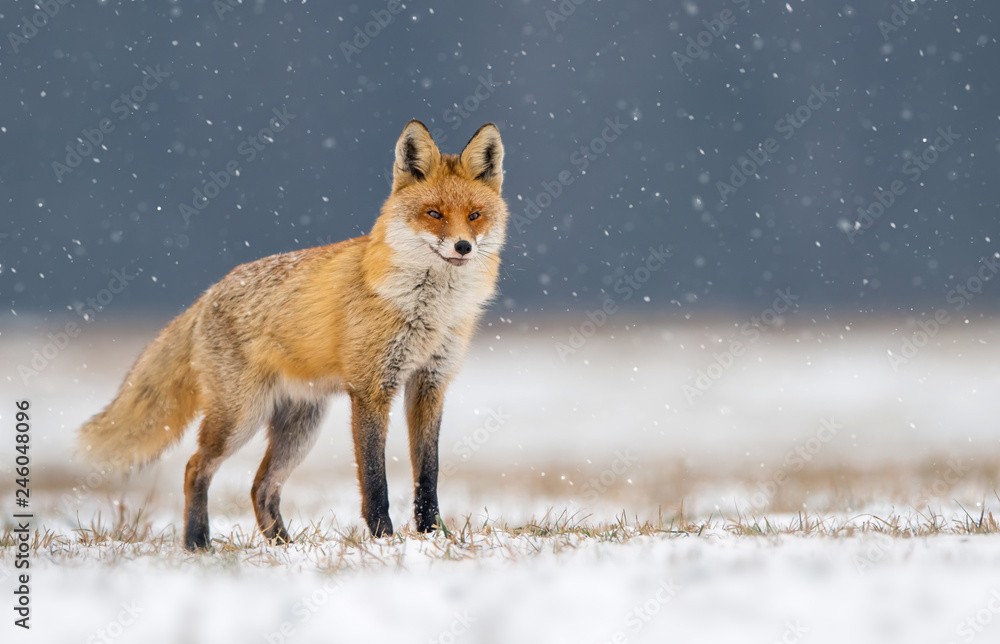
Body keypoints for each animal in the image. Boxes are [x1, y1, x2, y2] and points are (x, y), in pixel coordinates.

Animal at [77, 120, 508, 551]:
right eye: (434, 214)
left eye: (474, 215)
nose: (463, 246)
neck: (429, 310)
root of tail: (208, 294)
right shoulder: (371, 388)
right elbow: (374, 479)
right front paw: (383, 538)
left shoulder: (430, 384)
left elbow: (427, 475)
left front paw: (432, 534)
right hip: (241, 418)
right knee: (195, 467)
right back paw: (198, 542)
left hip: (300, 427)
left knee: (260, 487)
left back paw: (285, 546)